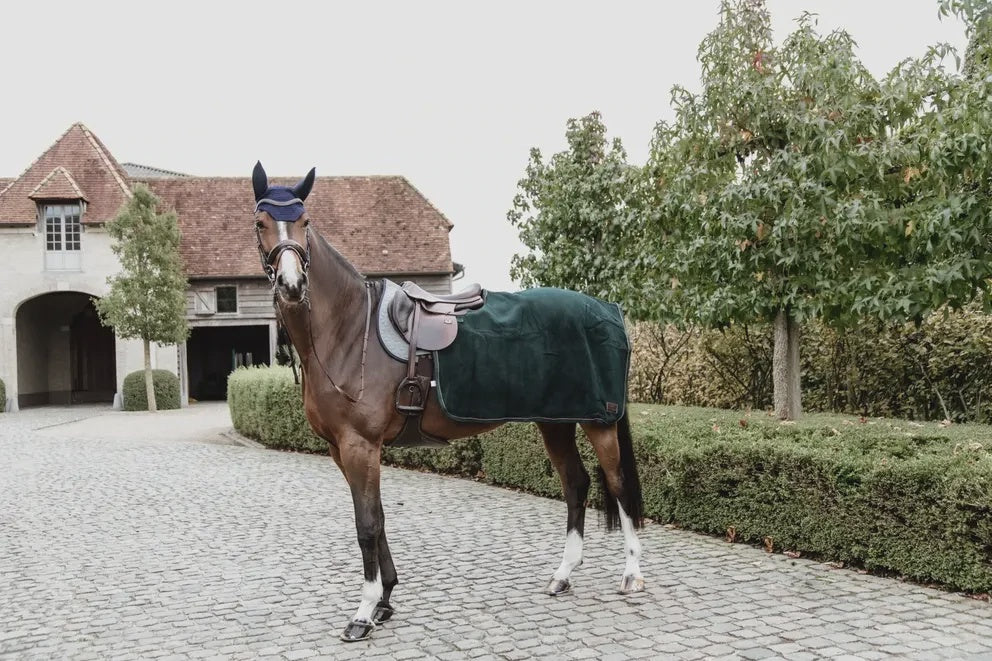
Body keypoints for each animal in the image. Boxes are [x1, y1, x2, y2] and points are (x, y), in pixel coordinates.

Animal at [250, 162, 645, 642]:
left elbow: (366, 525)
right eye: (260, 222)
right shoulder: (341, 450)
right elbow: (379, 519)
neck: (348, 330)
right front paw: (386, 600)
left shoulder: (360, 446)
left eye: (305, 222)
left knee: (619, 486)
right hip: (555, 422)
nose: (292, 285)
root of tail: (609, 310)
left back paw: (632, 575)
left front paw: (363, 613)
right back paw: (562, 575)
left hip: (598, 421)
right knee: (577, 485)